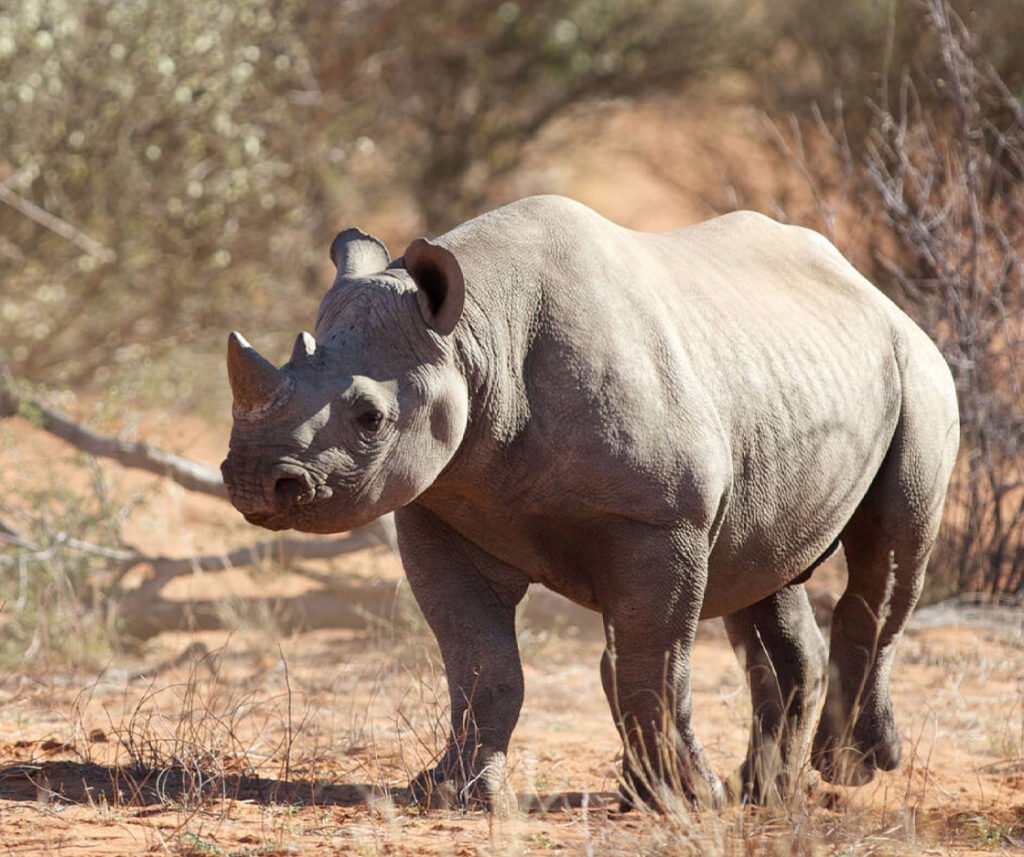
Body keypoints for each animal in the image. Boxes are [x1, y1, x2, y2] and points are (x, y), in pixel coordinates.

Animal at [221, 195, 959, 810]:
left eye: (371, 418)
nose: (255, 481)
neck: (477, 335)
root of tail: (874, 292)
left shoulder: (662, 518)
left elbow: (650, 659)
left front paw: (690, 799)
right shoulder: (441, 505)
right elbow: (481, 661)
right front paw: (453, 792)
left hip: (921, 370)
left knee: (889, 557)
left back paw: (849, 769)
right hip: (781, 379)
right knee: (764, 571)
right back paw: (766, 791)